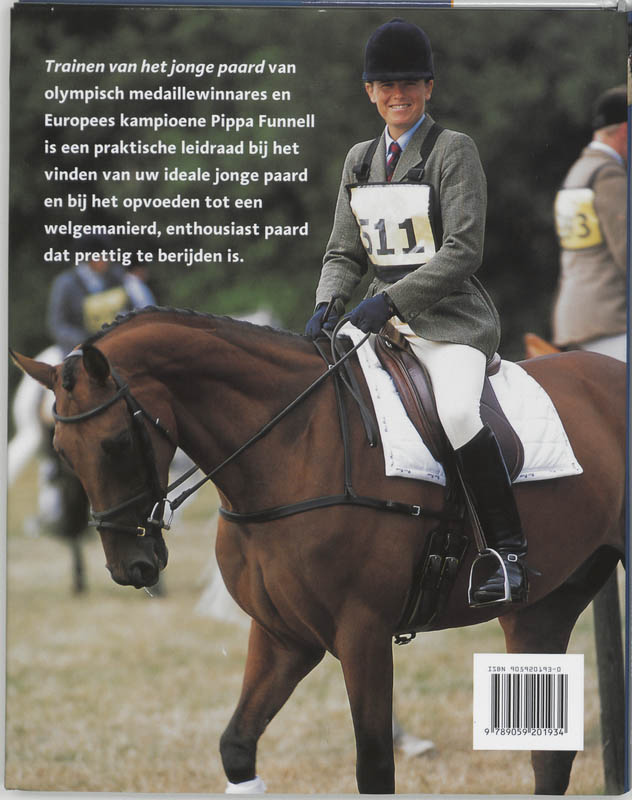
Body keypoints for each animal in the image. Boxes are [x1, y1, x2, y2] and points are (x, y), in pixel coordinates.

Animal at [11, 306, 626, 795]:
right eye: (61, 450)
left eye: (115, 444)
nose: (131, 567)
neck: (291, 447)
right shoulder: (284, 635)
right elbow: (237, 746)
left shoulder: (363, 633)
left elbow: (374, 766)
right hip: (541, 610)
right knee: (549, 756)